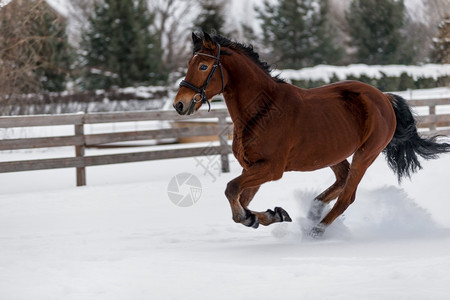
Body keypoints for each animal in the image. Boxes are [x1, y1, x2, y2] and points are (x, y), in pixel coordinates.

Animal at [174, 32, 450, 238]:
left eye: (203, 65)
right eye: (189, 64)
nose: (180, 104)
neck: (262, 110)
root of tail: (383, 97)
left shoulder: (271, 168)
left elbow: (232, 191)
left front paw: (255, 217)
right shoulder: (252, 167)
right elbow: (241, 199)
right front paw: (271, 215)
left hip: (366, 154)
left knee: (347, 195)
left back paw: (316, 229)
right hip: (334, 154)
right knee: (341, 181)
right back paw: (313, 211)